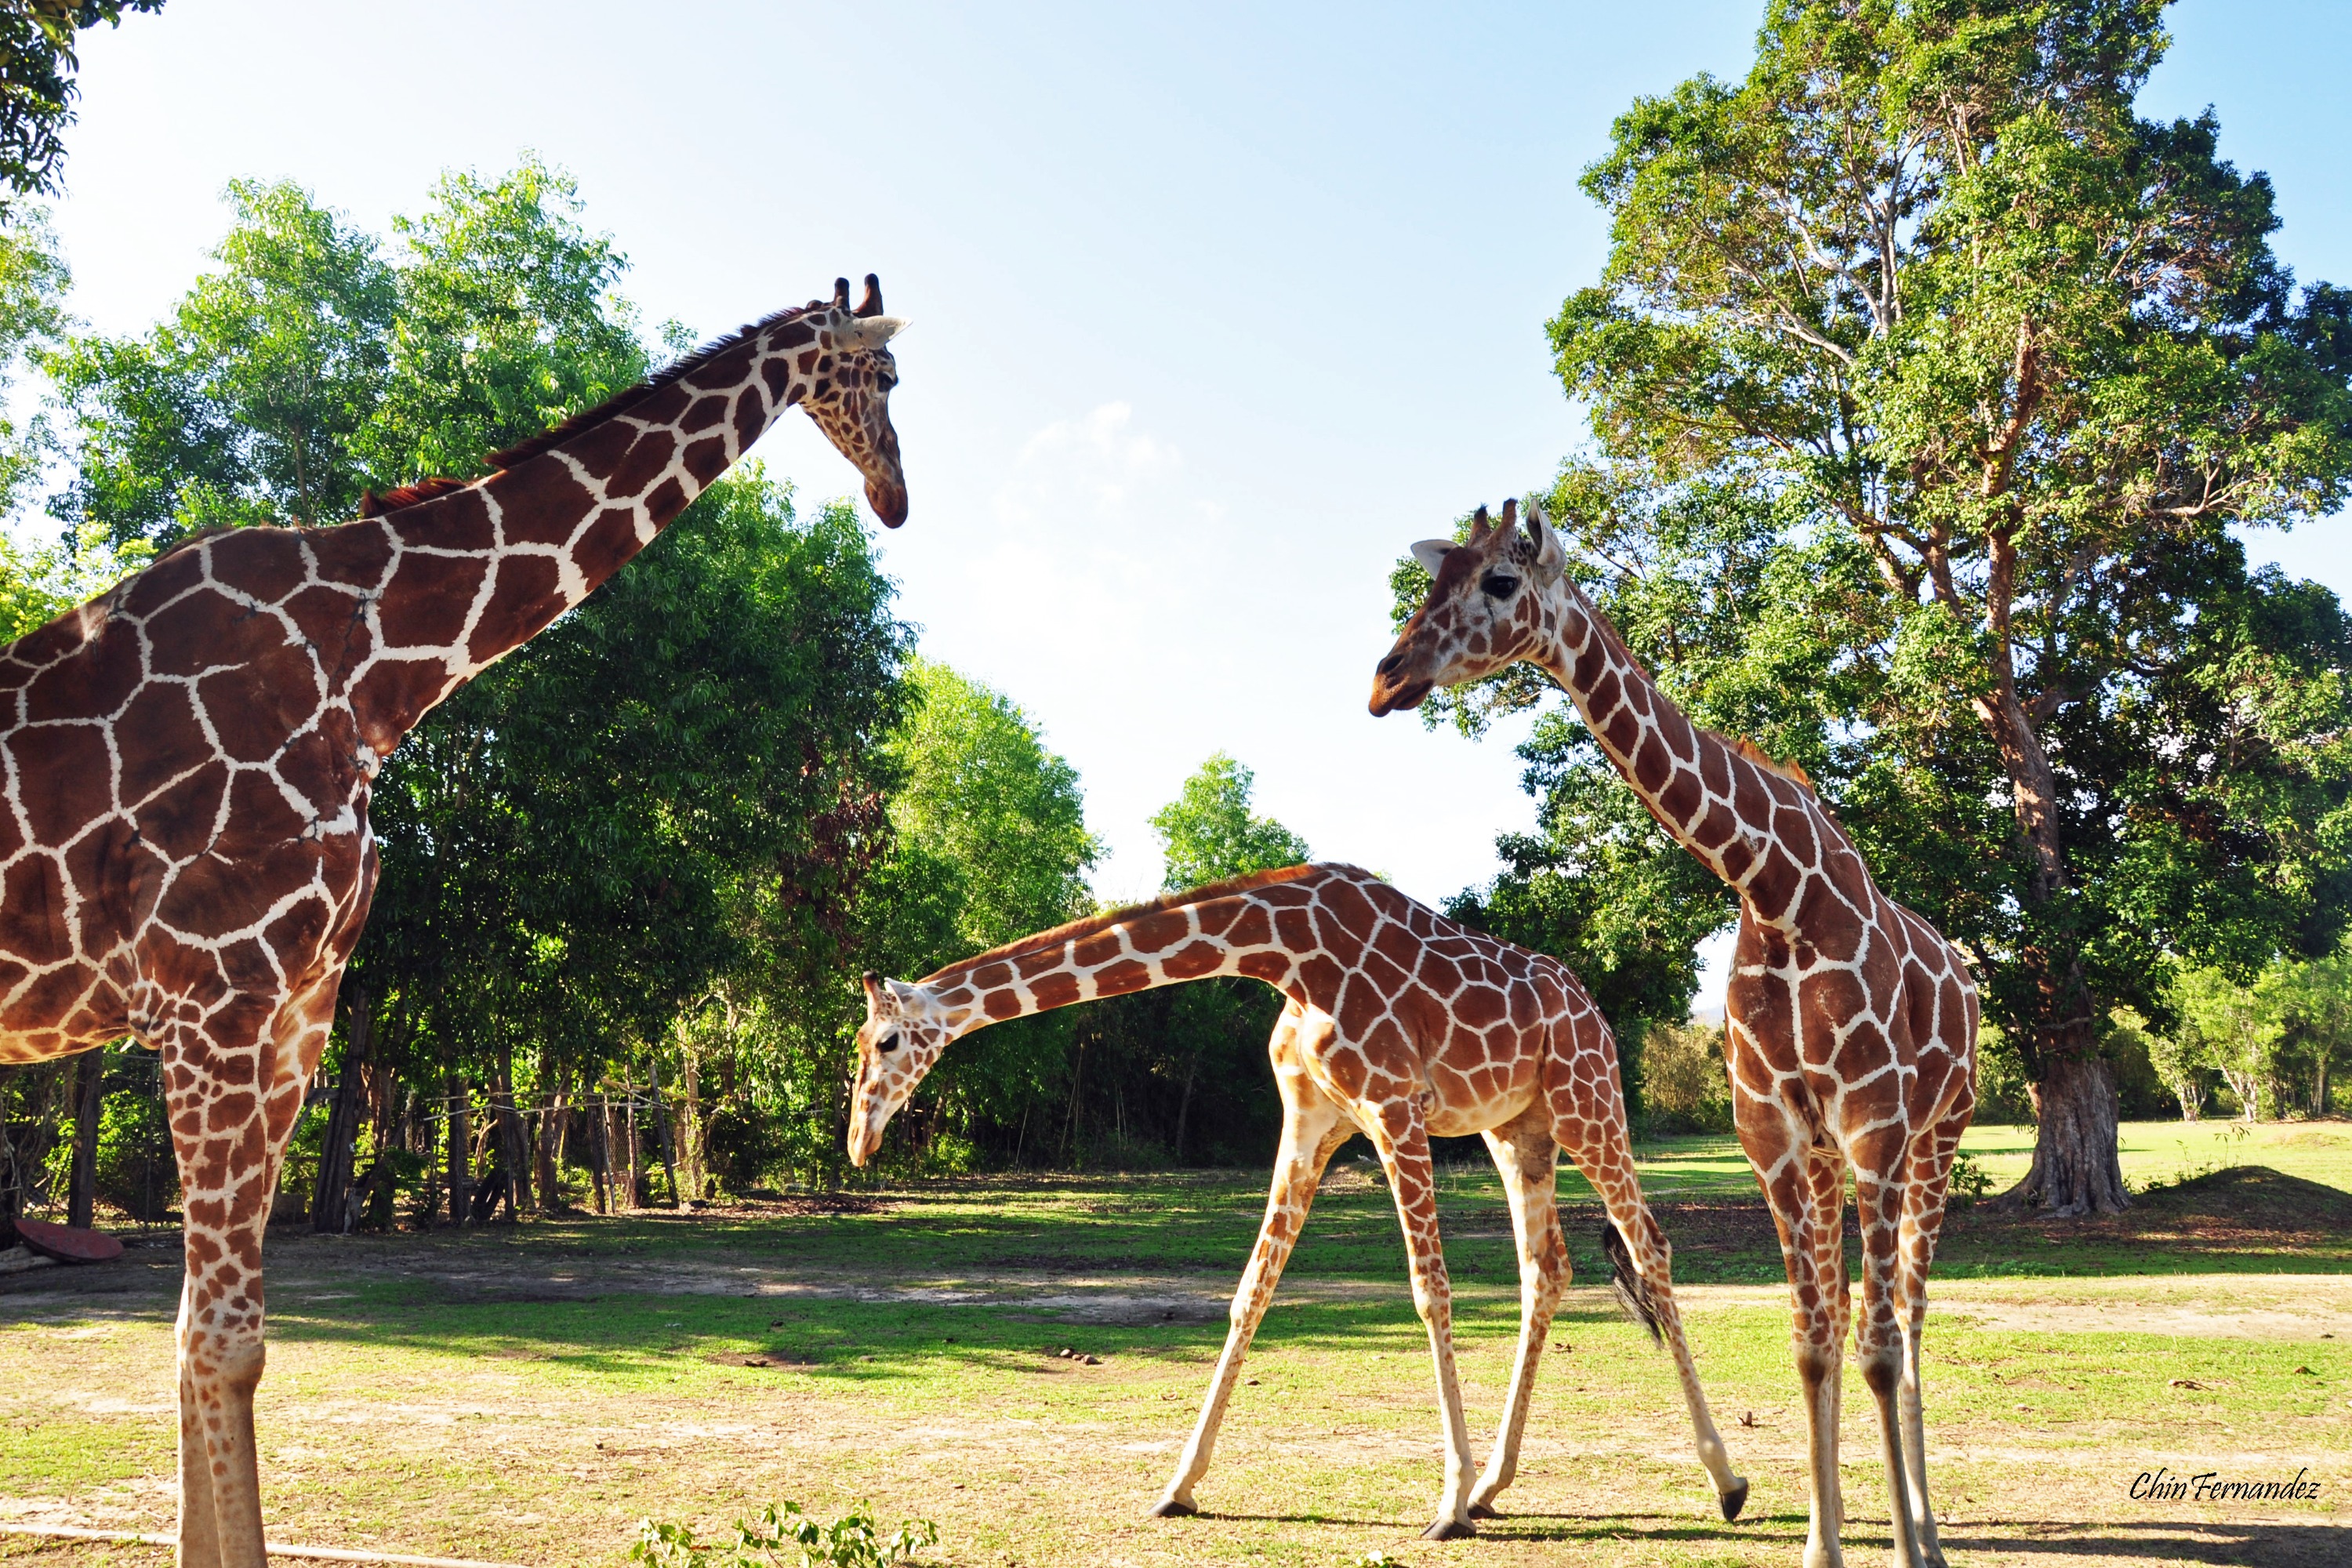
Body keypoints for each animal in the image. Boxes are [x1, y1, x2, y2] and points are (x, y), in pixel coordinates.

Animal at [0, 276, 908, 1561]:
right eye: (883, 376)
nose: (895, 496)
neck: (373, 674)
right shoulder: (211, 1000)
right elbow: (220, 1342)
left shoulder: (295, 1011)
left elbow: (210, 1340)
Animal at [847, 869, 1750, 1542]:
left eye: (885, 1042)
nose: (859, 1138)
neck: (1284, 953)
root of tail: (1593, 1009)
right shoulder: (1310, 1117)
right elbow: (1252, 1289)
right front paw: (1178, 1484)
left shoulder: (1392, 1108)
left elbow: (1430, 1291)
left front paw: (1445, 1504)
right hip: (1515, 1130)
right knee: (1547, 1268)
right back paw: (1497, 1484)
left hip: (1587, 1104)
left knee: (1651, 1245)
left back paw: (1725, 1479)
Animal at [1374, 500, 1976, 1568]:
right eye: (1434, 579)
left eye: (1497, 582)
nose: (1387, 675)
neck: (1776, 887)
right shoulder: (1773, 1133)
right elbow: (1812, 1341)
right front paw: (1821, 1543)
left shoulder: (1873, 1124)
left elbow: (1874, 1345)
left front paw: (1904, 1545)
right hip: (1836, 1157)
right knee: (1848, 1312)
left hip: (1935, 1134)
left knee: (1907, 1315)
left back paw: (1929, 1532)